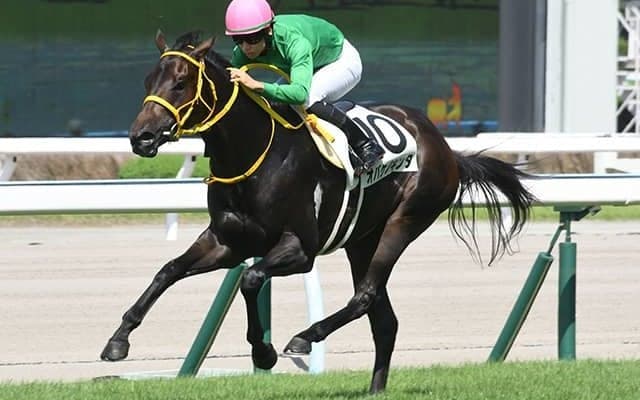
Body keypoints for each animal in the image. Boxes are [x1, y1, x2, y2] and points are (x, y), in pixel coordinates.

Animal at [101, 31, 535, 393]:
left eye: (180, 83)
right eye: (147, 82)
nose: (141, 138)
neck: (256, 153)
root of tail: (445, 147)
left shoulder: (300, 249)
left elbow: (251, 279)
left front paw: (264, 352)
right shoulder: (226, 241)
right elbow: (168, 270)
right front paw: (117, 341)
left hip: (405, 220)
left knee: (364, 297)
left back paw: (304, 338)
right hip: (361, 241)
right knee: (384, 319)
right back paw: (374, 389)